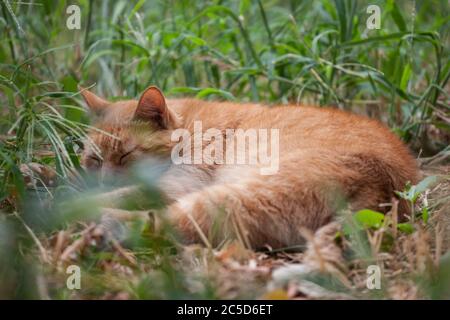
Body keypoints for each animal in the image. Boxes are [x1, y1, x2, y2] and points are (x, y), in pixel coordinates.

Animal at [80, 86, 418, 249]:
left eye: (126, 156)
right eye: (94, 161)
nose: (104, 181)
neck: (192, 127)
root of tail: (386, 186)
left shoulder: (175, 186)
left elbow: (122, 195)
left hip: (234, 197)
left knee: (162, 222)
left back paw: (103, 226)